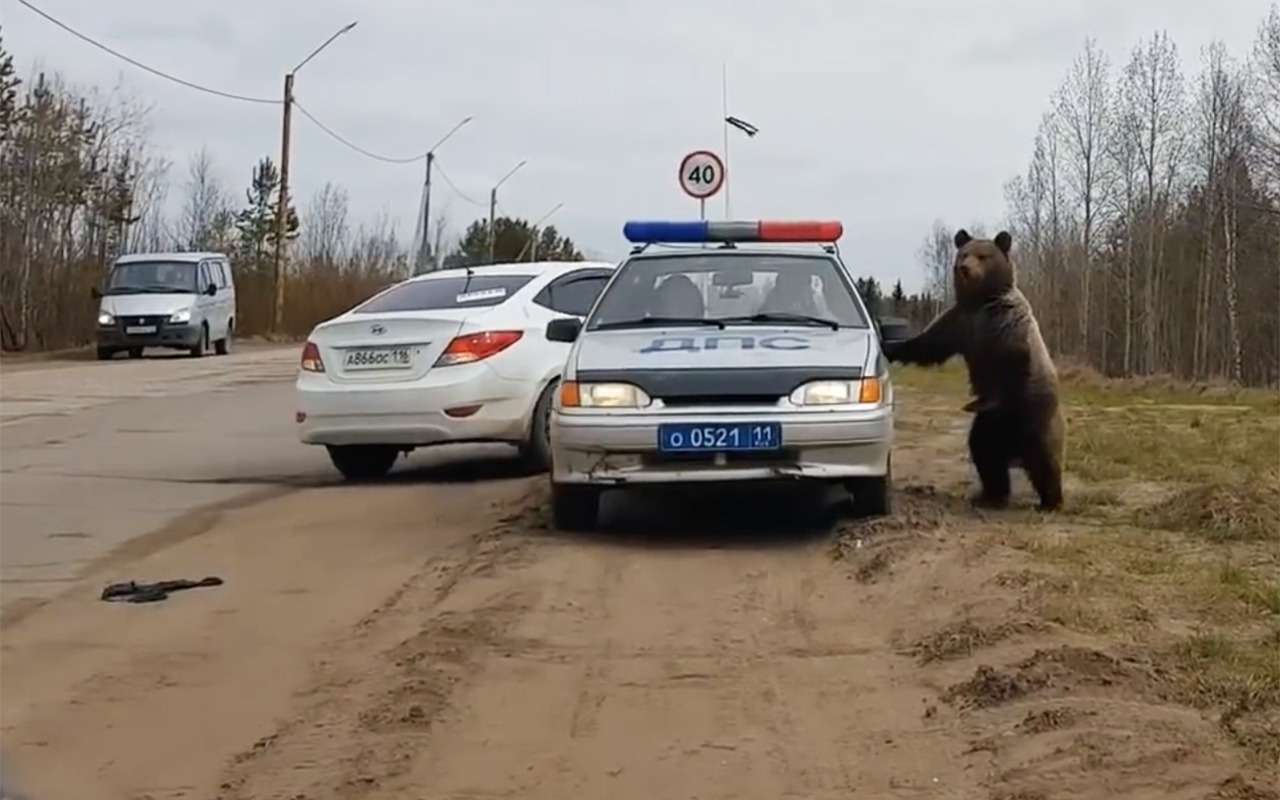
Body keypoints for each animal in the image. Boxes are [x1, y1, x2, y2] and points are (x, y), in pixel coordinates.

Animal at [883, 228, 1064, 511]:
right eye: (963, 254)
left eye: (982, 256)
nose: (964, 268)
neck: (980, 302)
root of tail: (1014, 447)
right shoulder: (959, 324)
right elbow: (927, 346)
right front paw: (890, 347)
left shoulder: (1004, 326)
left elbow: (1011, 364)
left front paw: (982, 399)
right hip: (990, 426)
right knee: (985, 452)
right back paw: (991, 495)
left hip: (1035, 414)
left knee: (1043, 459)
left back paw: (1050, 501)